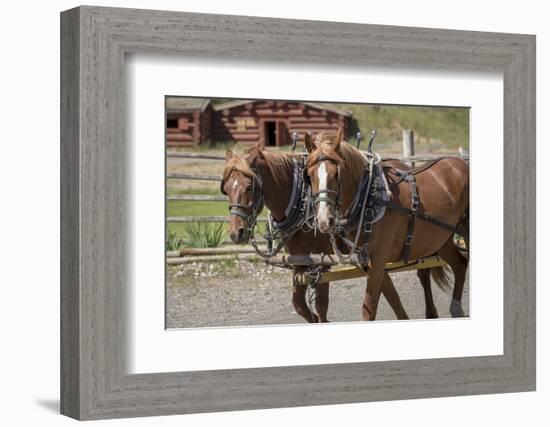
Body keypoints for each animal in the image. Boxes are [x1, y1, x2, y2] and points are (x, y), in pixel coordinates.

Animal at [224, 145, 448, 322]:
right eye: (225, 189)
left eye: (249, 186)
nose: (236, 233)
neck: (302, 201)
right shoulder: (299, 260)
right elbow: (299, 305)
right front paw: (313, 318)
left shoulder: (323, 259)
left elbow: (321, 304)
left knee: (423, 272)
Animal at [306, 130, 470, 320]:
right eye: (309, 176)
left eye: (336, 174)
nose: (324, 220)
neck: (369, 197)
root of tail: (461, 163)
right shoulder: (370, 262)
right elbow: (393, 299)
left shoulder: (378, 259)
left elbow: (369, 308)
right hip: (441, 239)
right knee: (460, 265)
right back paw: (456, 309)